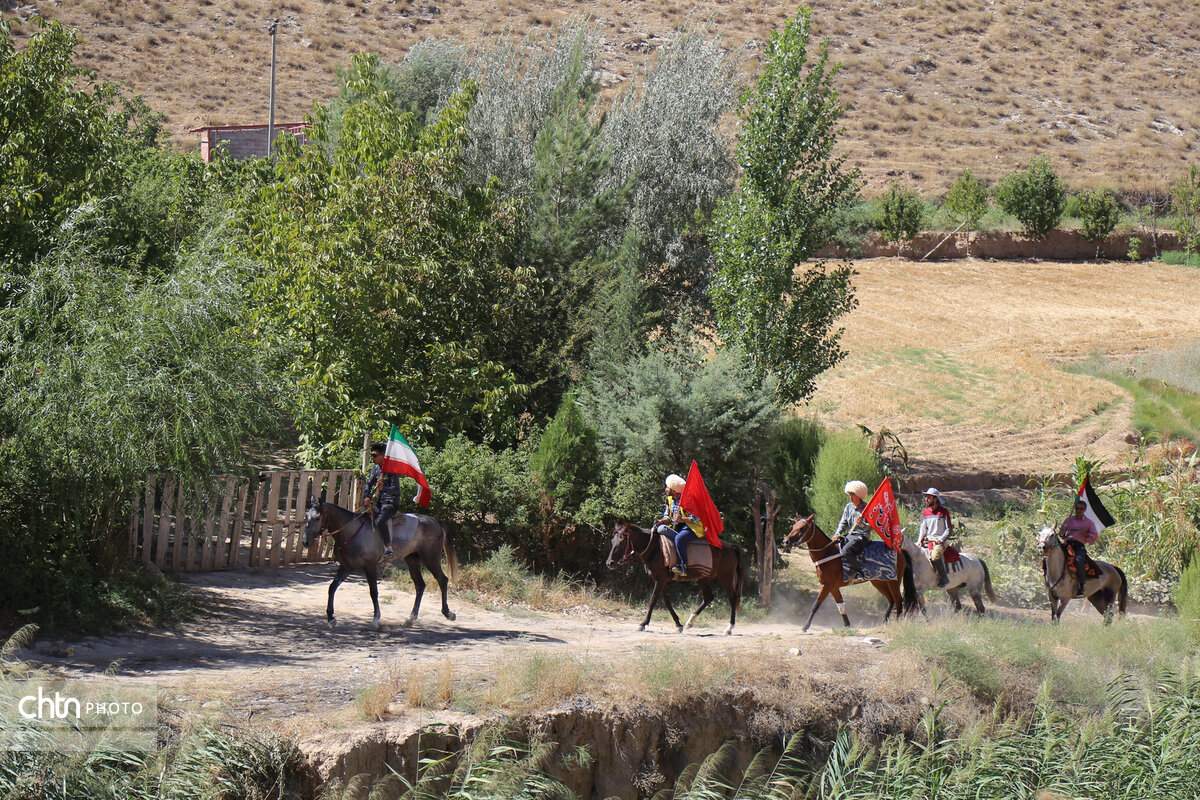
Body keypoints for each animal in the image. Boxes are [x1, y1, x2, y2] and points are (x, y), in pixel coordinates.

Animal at [304, 494, 458, 633]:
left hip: (431, 559)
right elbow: (332, 588)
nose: (305, 541)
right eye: (306, 517)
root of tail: (435, 520)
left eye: (317, 518)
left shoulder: (370, 567)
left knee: (442, 580)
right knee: (420, 585)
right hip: (412, 559)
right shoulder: (346, 567)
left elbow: (373, 592)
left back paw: (448, 613)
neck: (350, 531)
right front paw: (331, 619)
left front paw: (375, 621)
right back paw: (410, 619)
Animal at [604, 522, 744, 633]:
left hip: (725, 577)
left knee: (732, 598)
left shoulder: (660, 579)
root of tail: (731, 546)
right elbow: (667, 601)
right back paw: (690, 622)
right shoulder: (663, 581)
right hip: (703, 578)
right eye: (612, 541)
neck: (655, 548)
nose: (610, 563)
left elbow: (653, 599)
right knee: (709, 597)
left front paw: (643, 624)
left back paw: (729, 628)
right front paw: (678, 625)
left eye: (622, 540)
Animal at [782, 515, 912, 633]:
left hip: (894, 582)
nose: (786, 541)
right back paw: (884, 622)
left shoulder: (828, 585)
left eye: (802, 528)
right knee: (891, 600)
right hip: (878, 582)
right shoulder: (833, 587)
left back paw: (896, 625)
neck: (827, 553)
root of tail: (900, 550)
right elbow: (840, 605)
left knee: (898, 601)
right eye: (793, 526)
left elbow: (816, 605)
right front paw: (847, 625)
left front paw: (805, 627)